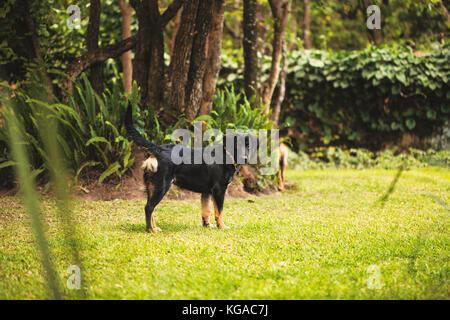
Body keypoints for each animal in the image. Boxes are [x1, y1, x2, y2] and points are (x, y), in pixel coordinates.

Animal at [124, 102, 256, 232]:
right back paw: (151, 230)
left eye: (249, 146)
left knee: (151, 208)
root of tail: (158, 149)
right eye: (237, 146)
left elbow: (206, 210)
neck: (226, 154)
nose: (245, 157)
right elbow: (219, 211)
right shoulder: (219, 189)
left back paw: (154, 227)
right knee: (149, 207)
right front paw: (222, 226)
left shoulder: (207, 192)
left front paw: (207, 226)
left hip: (151, 186)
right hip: (162, 185)